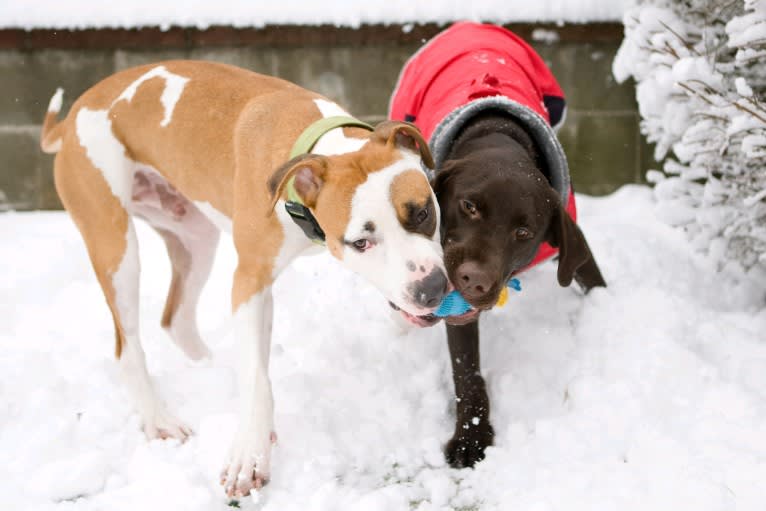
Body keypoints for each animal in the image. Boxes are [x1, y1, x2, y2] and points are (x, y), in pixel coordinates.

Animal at [40, 60, 450, 496]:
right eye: (361, 242)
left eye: (423, 212)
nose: (431, 289)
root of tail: (71, 120)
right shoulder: (250, 279)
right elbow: (257, 379)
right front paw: (249, 455)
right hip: (115, 244)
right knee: (127, 344)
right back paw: (159, 420)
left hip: (195, 235)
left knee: (176, 317)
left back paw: (211, 370)